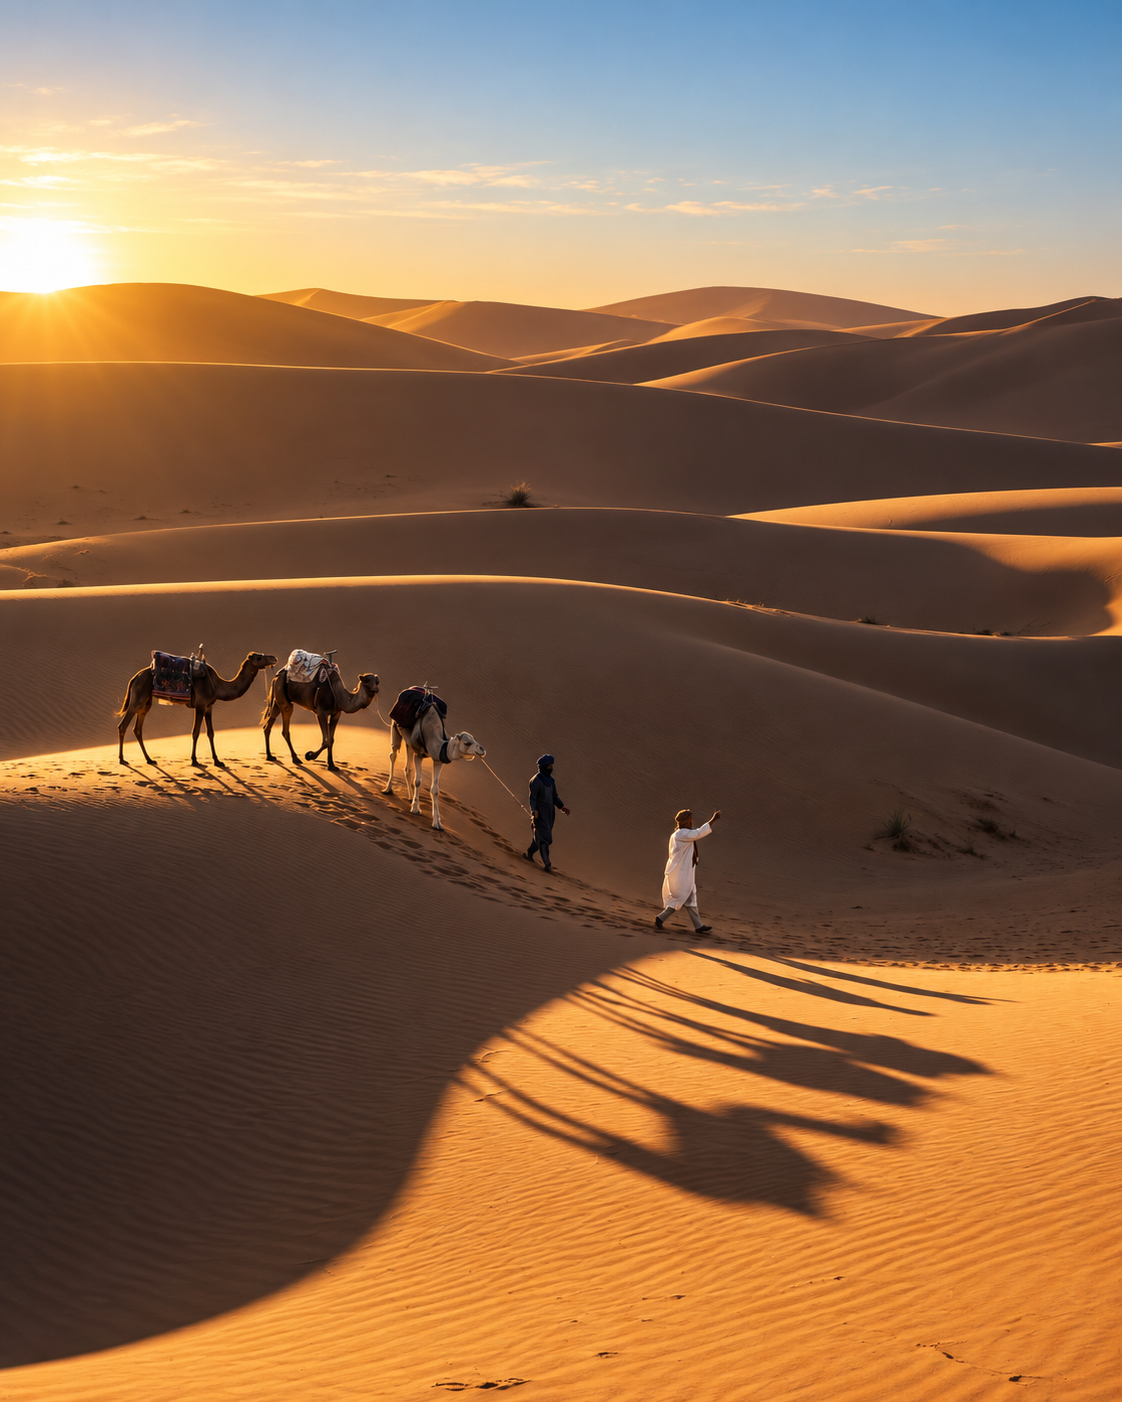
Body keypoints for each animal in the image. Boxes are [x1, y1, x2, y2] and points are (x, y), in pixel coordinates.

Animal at [117, 650, 278, 767]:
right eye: (259, 657)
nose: (273, 658)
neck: (217, 685)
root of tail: (135, 677)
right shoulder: (200, 706)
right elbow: (195, 732)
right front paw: (194, 760)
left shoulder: (209, 707)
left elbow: (211, 733)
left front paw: (218, 761)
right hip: (137, 699)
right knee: (123, 726)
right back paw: (122, 759)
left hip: (145, 702)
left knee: (137, 729)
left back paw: (149, 759)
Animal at [384, 701, 485, 830]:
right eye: (467, 743)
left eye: (474, 739)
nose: (482, 750)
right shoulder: (419, 755)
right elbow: (418, 781)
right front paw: (416, 809)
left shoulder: (438, 760)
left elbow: (435, 789)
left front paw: (437, 823)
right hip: (395, 728)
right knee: (393, 754)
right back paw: (388, 789)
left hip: (409, 743)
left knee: (408, 768)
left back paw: (410, 797)